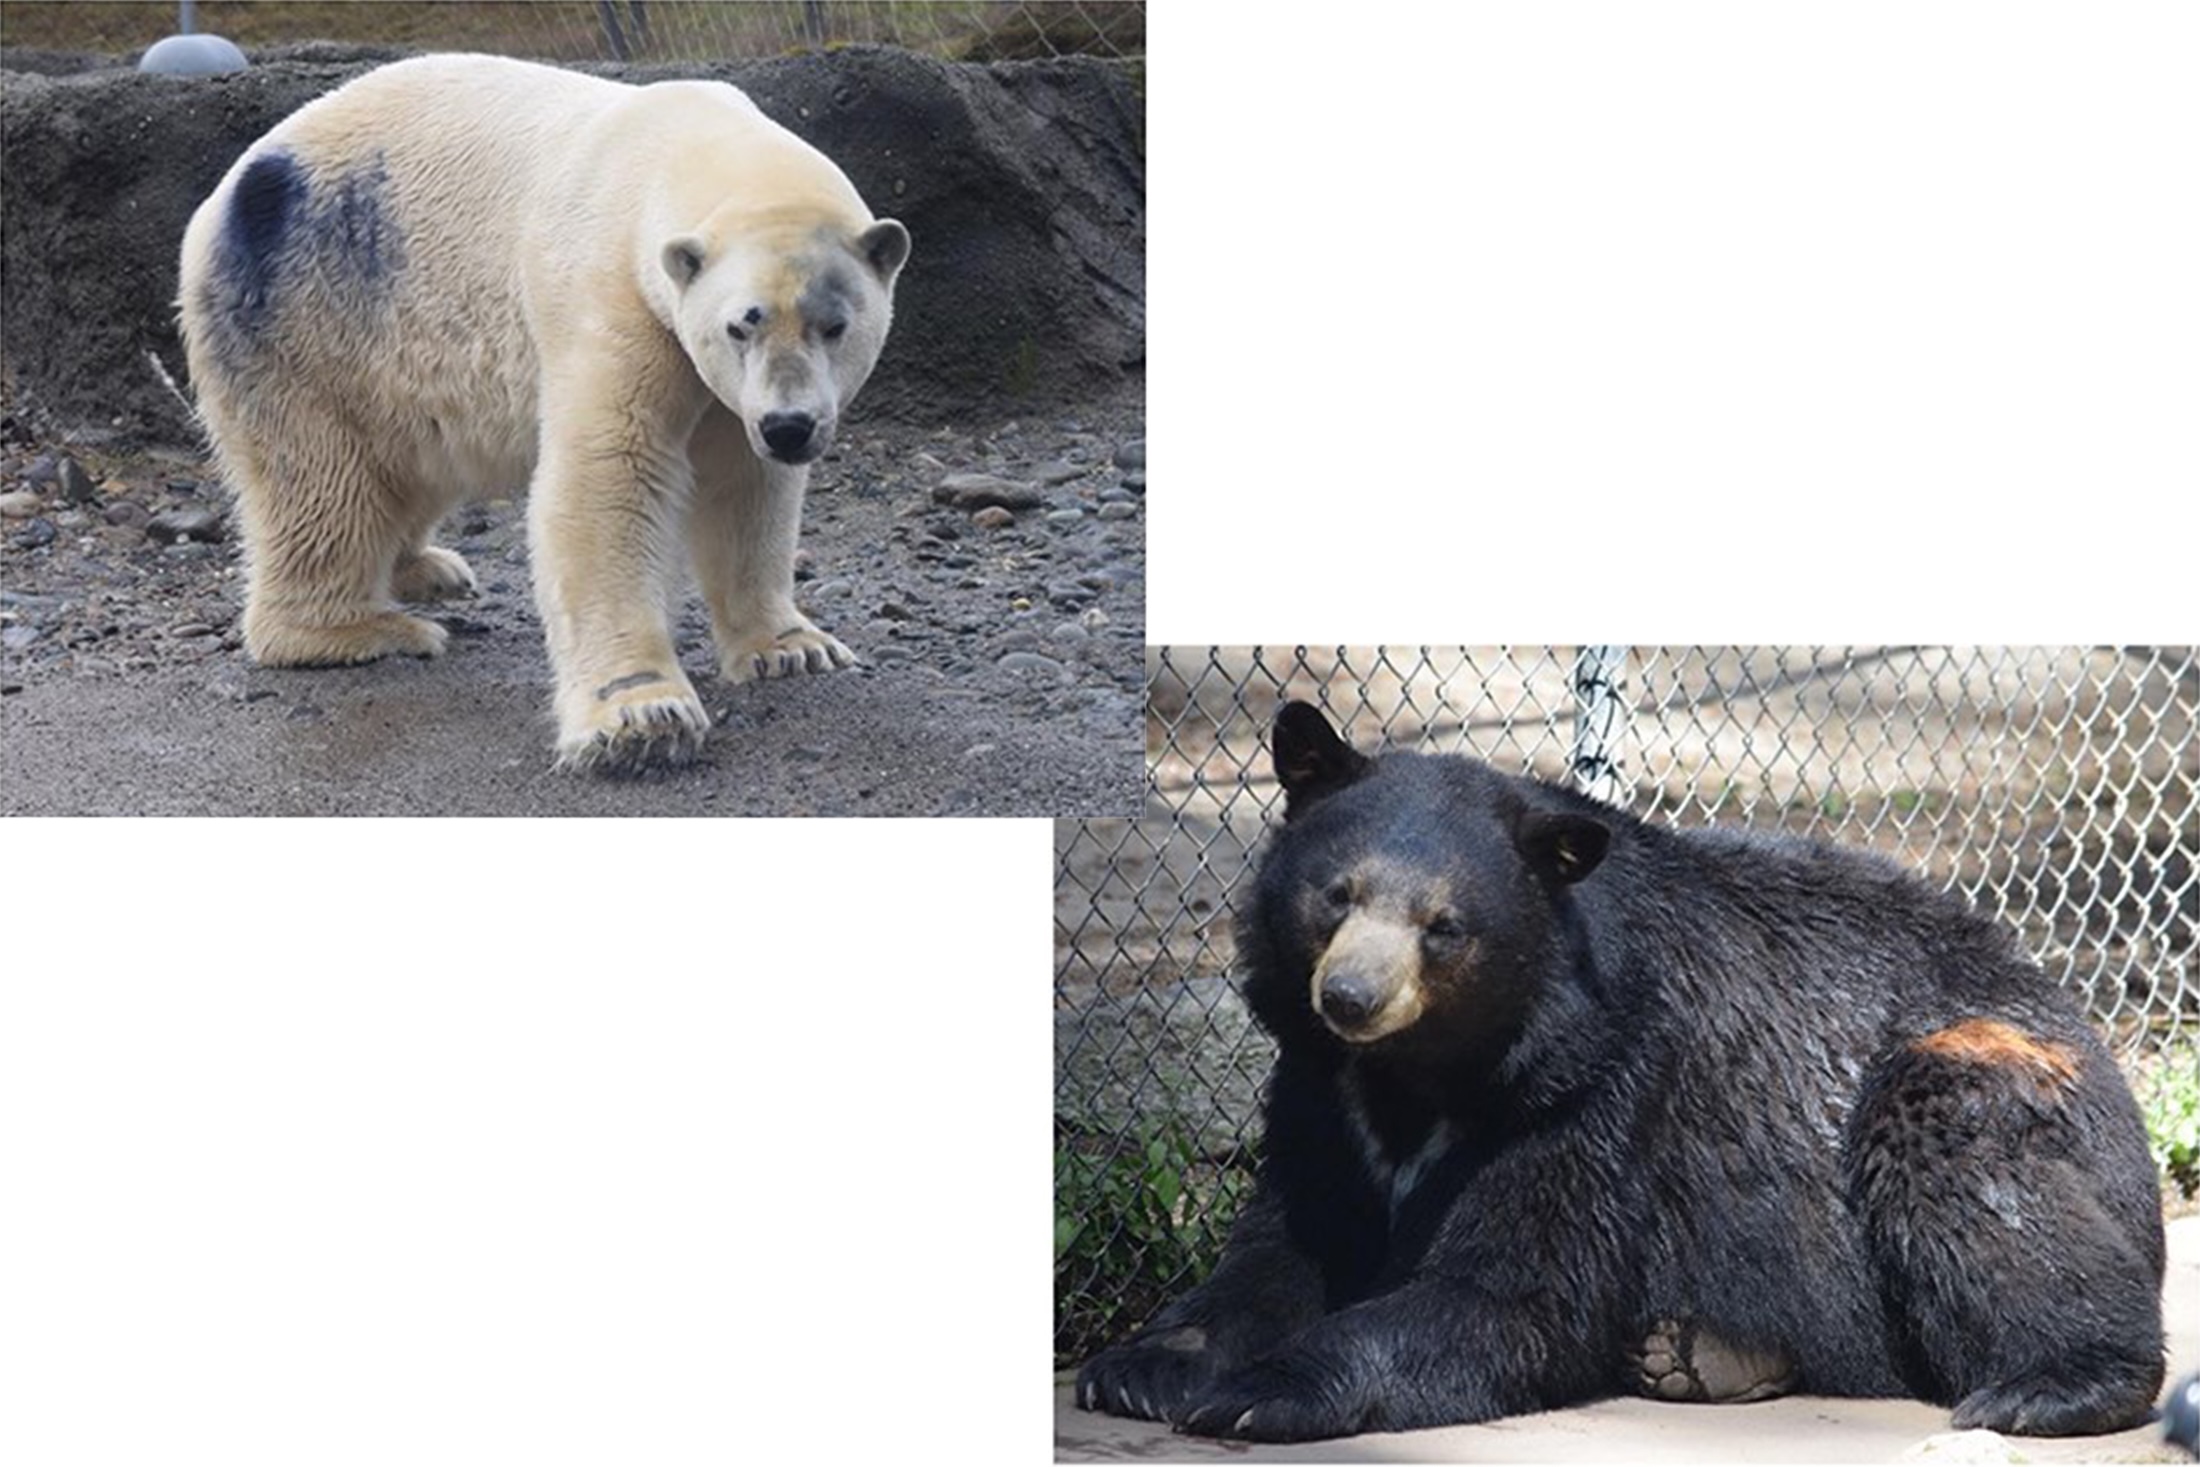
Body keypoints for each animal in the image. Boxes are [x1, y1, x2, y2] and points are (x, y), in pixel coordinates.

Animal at [176, 54, 910, 771]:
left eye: (834, 325)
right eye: (740, 325)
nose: (788, 427)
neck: (680, 146)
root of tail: (223, 198)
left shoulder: (724, 383)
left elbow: (743, 483)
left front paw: (794, 648)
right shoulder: (612, 294)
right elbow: (609, 473)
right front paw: (641, 720)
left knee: (412, 456)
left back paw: (426, 568)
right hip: (308, 312)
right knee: (320, 483)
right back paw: (360, 629)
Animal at [1075, 701, 2166, 1443]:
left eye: (1444, 926)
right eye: (1335, 895)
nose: (1349, 997)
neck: (1425, 1069)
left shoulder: (1596, 1088)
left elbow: (1517, 1289)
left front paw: (1262, 1390)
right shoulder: (1317, 1091)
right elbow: (1284, 1245)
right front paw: (1139, 1365)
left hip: (1995, 1072)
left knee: (1967, 1162)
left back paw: (2050, 1384)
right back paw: (1701, 1357)